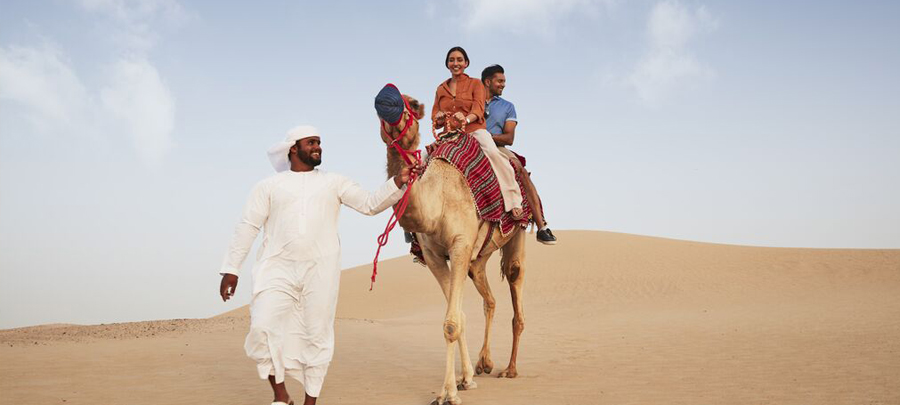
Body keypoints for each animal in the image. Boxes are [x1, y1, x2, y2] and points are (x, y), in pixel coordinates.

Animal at [374, 94, 528, 404]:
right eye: (377, 108)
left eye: (411, 104)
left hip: (515, 233)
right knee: (488, 295)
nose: (386, 103)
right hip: (478, 256)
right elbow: (459, 317)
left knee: (515, 276)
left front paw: (449, 394)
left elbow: (451, 324)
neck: (438, 199)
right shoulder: (435, 257)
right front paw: (464, 380)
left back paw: (510, 369)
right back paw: (484, 362)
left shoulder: (459, 246)